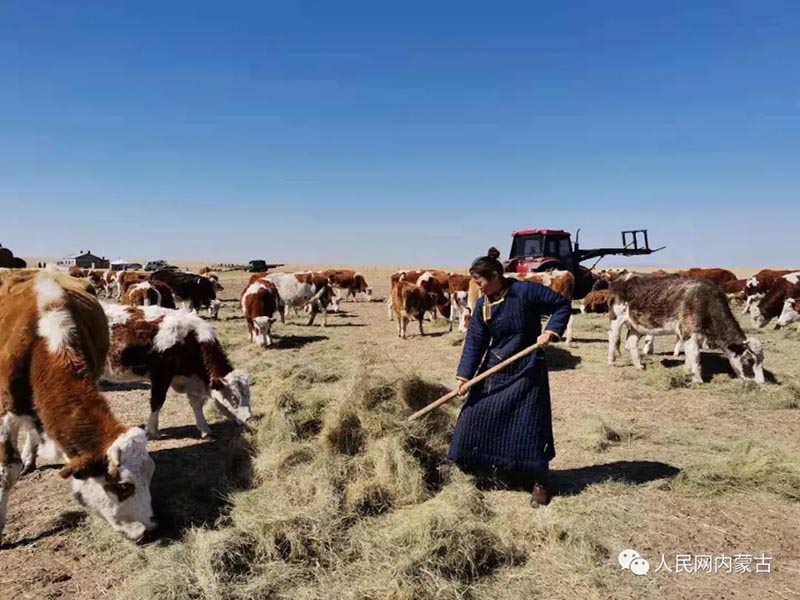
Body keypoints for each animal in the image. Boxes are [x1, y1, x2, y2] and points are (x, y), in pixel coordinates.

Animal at [102, 304, 253, 440]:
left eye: (249, 395)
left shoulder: (191, 378)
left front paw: (204, 430)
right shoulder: (161, 375)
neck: (191, 340)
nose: (249, 419)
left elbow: (196, 403)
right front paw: (152, 431)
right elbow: (157, 402)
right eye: (234, 397)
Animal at [608, 274, 764, 382]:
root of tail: (622, 278)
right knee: (613, 338)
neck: (705, 300)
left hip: (637, 325)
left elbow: (690, 353)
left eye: (762, 361)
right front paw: (697, 379)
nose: (761, 382)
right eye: (749, 360)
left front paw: (687, 371)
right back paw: (611, 361)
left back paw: (638, 366)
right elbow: (695, 354)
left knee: (631, 341)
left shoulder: (694, 334)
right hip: (616, 317)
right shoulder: (688, 330)